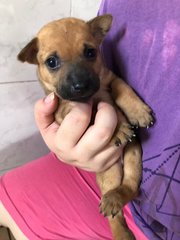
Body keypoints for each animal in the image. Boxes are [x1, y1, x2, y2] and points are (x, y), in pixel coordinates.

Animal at [17, 15, 153, 240]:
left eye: (90, 52)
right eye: (51, 62)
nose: (80, 86)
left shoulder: (109, 78)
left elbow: (122, 89)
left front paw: (138, 111)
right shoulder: (64, 110)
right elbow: (95, 111)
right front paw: (118, 129)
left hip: (134, 158)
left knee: (131, 186)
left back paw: (116, 202)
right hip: (109, 173)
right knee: (116, 216)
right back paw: (120, 229)